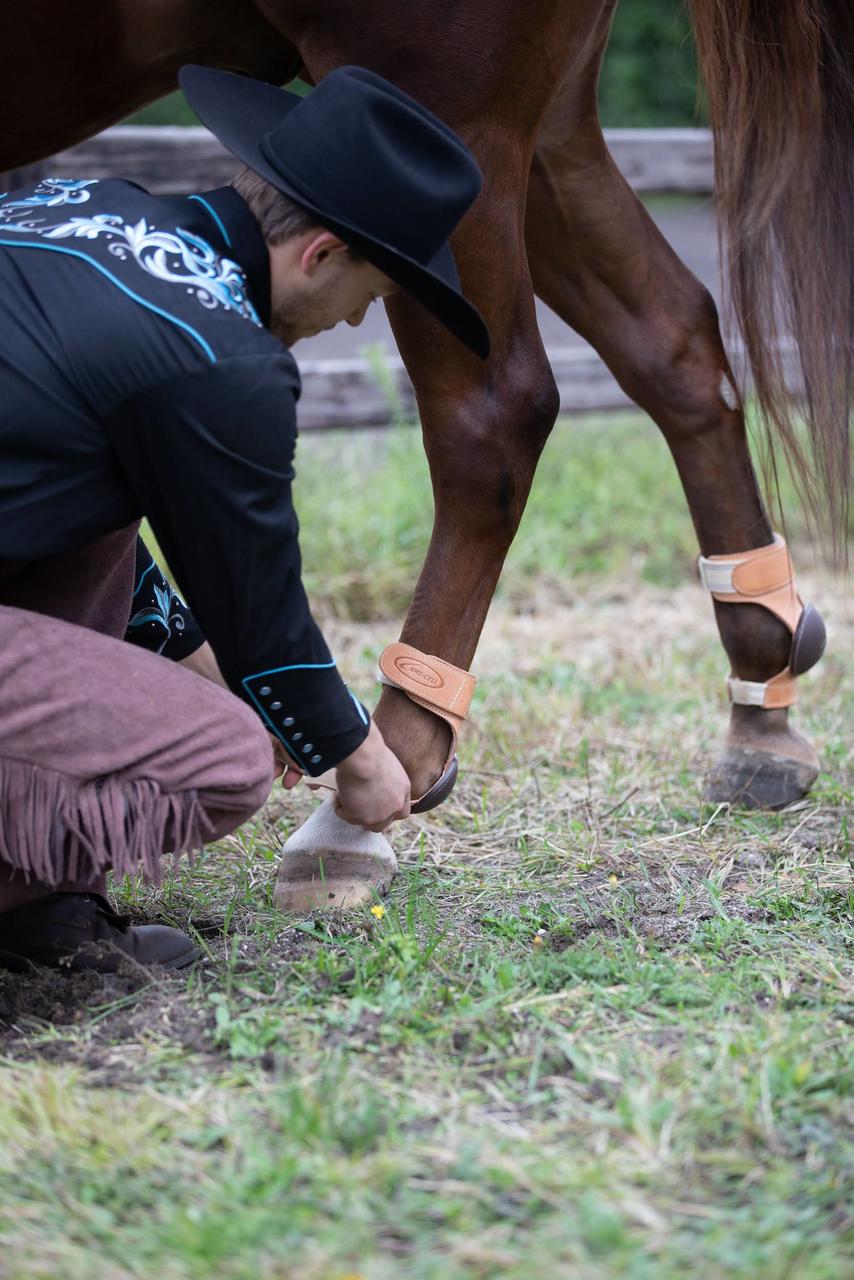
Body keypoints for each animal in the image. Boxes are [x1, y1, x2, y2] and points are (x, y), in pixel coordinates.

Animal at [3, 2, 850, 880]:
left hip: (454, 113)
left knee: (495, 414)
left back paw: (375, 789)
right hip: (553, 125)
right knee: (671, 336)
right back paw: (762, 700)